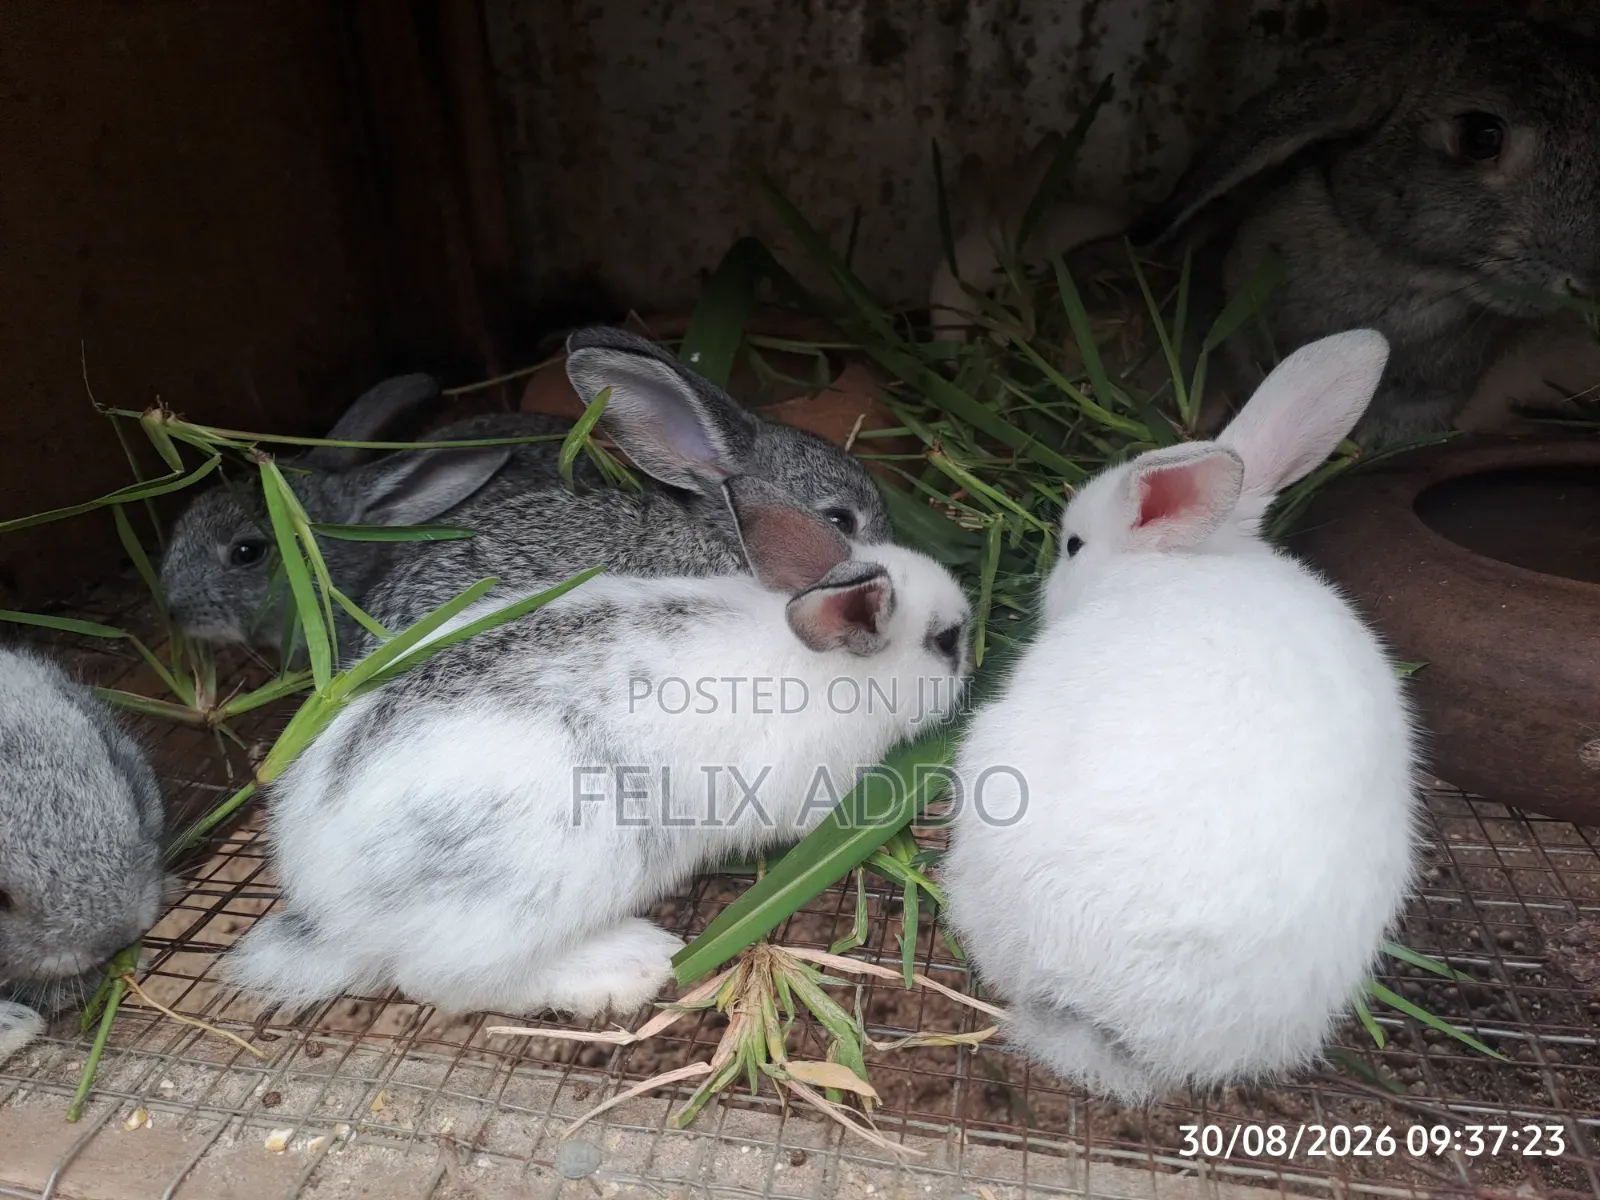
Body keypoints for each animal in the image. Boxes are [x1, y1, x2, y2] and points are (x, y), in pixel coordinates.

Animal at [225, 476, 971, 1019]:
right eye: (946, 641)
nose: (975, 644)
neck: (825, 660)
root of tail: (330, 908)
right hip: (541, 886)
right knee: (444, 982)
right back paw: (625, 966)